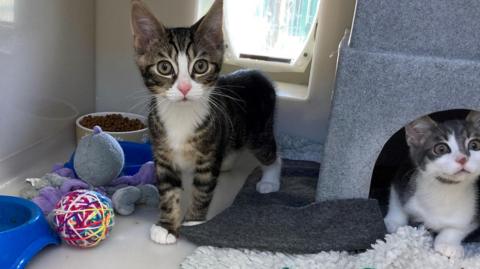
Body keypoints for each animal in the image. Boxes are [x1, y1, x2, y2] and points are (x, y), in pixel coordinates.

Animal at [130, 0, 282, 243]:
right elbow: (169, 191)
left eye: (200, 66)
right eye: (164, 67)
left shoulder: (208, 157)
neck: (181, 115)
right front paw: (166, 226)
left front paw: (193, 222)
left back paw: (270, 181)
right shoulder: (163, 155)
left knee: (272, 154)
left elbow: (202, 190)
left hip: (260, 131)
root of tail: (258, 73)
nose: (184, 88)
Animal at [384, 111, 480, 258]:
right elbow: (396, 201)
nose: (462, 159)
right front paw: (395, 222)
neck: (445, 189)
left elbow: (458, 228)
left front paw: (447, 244)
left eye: (474, 145)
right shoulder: (402, 177)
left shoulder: (472, 214)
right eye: (441, 149)